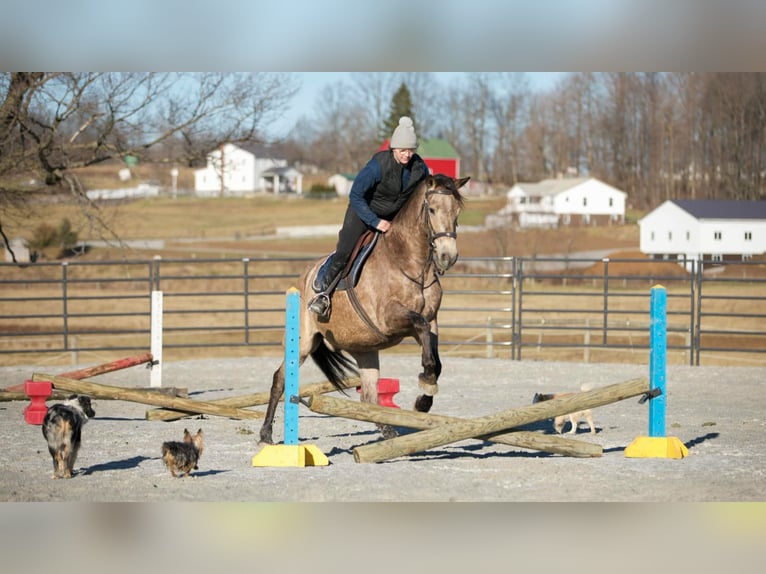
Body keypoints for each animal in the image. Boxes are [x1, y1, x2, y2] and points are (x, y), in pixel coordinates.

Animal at [260, 173, 472, 448]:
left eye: (456, 211)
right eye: (432, 210)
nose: (448, 256)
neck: (412, 264)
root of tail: (304, 277)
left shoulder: (431, 320)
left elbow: (436, 359)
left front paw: (423, 400)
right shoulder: (392, 318)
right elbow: (423, 335)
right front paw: (425, 383)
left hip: (365, 350)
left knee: (369, 396)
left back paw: (389, 433)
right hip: (304, 341)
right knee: (280, 378)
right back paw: (265, 434)